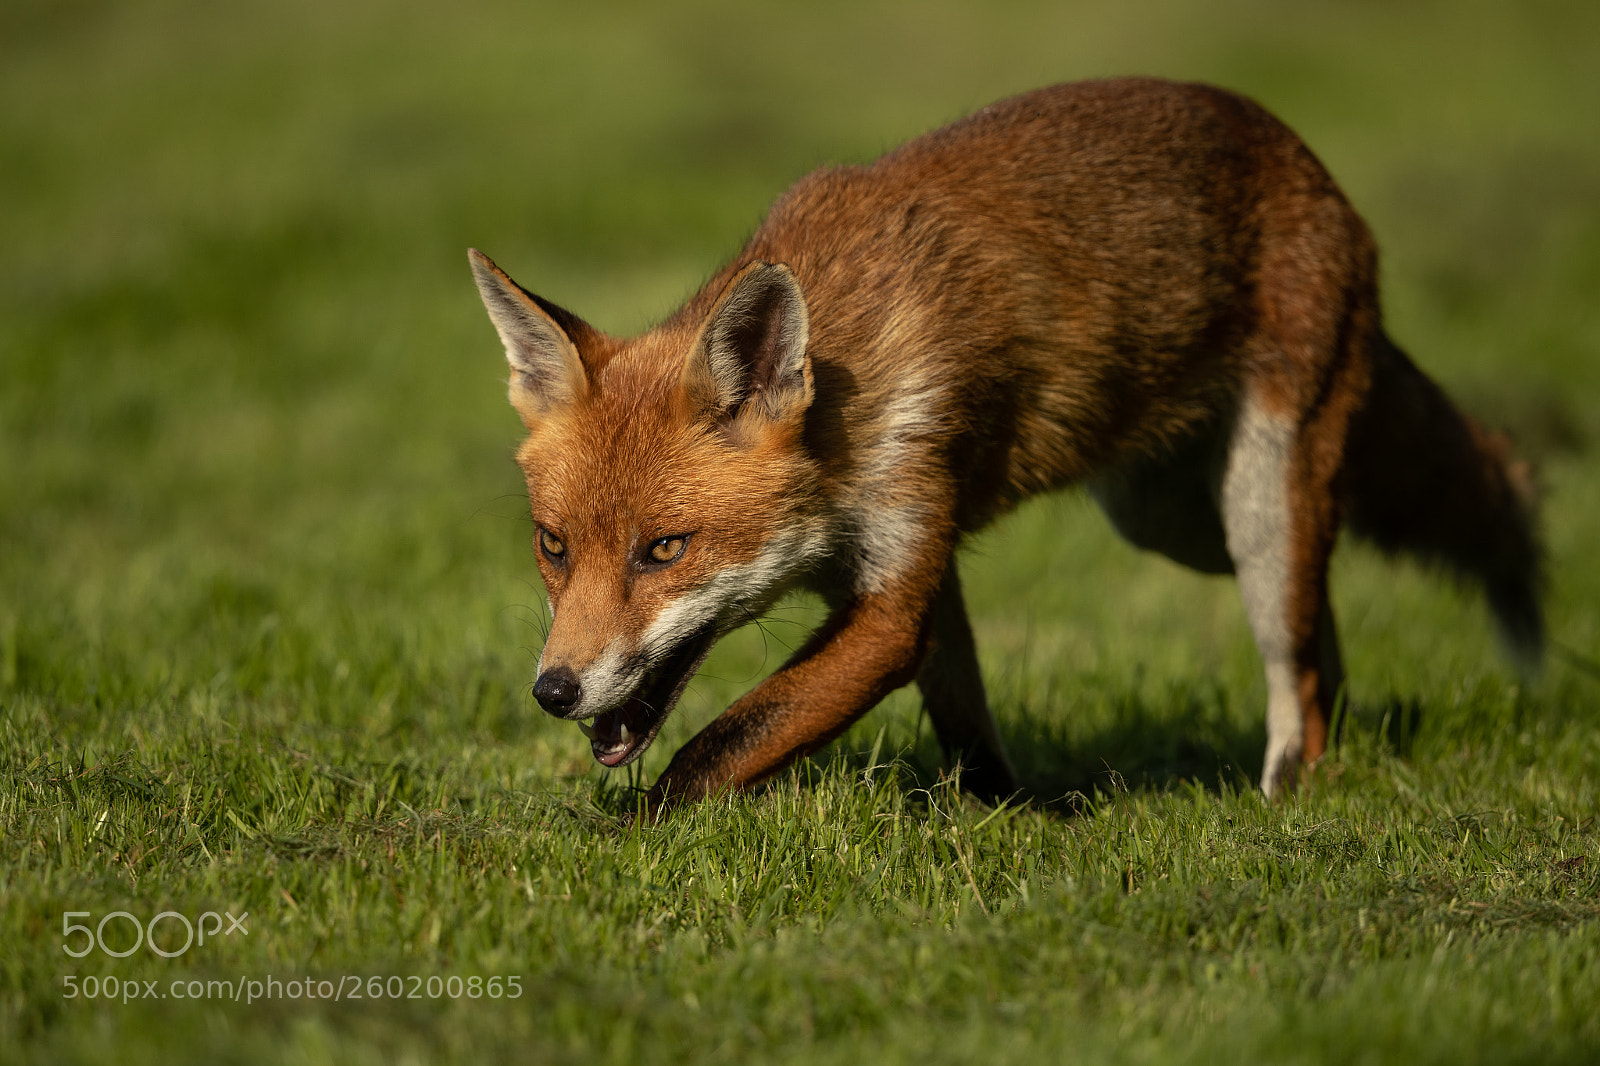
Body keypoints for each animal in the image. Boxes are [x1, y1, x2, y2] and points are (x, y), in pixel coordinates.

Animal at [469, 76, 1542, 813]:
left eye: (665, 550)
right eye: (553, 547)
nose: (553, 691)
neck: (850, 388)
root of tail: (1304, 157)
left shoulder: (893, 586)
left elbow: (724, 742)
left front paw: (616, 836)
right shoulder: (919, 560)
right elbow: (964, 712)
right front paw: (1009, 812)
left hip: (1260, 501)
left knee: (1302, 648)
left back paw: (1291, 791)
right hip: (1175, 522)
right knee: (1324, 617)